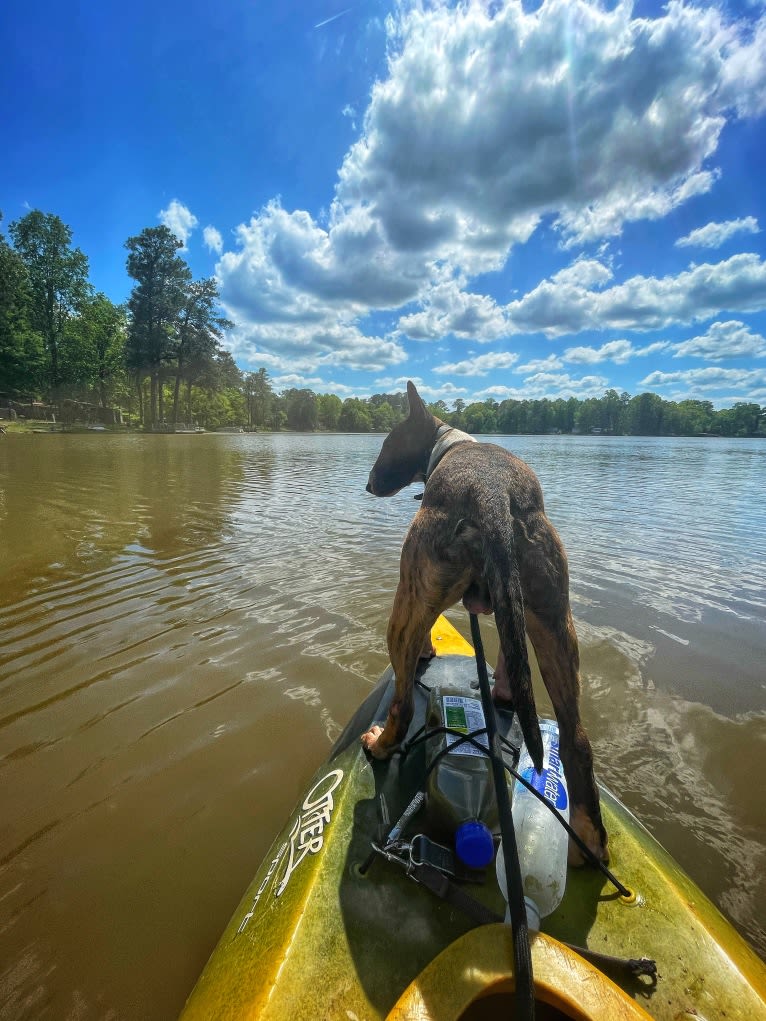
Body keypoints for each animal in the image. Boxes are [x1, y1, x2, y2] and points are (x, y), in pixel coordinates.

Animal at [363, 381, 608, 861]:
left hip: (407, 604)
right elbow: (511, 672)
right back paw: (588, 839)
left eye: (386, 443)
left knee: (402, 702)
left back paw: (380, 744)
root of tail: (492, 496)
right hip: (553, 621)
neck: (451, 445)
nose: (368, 483)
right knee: (576, 738)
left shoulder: (417, 599)